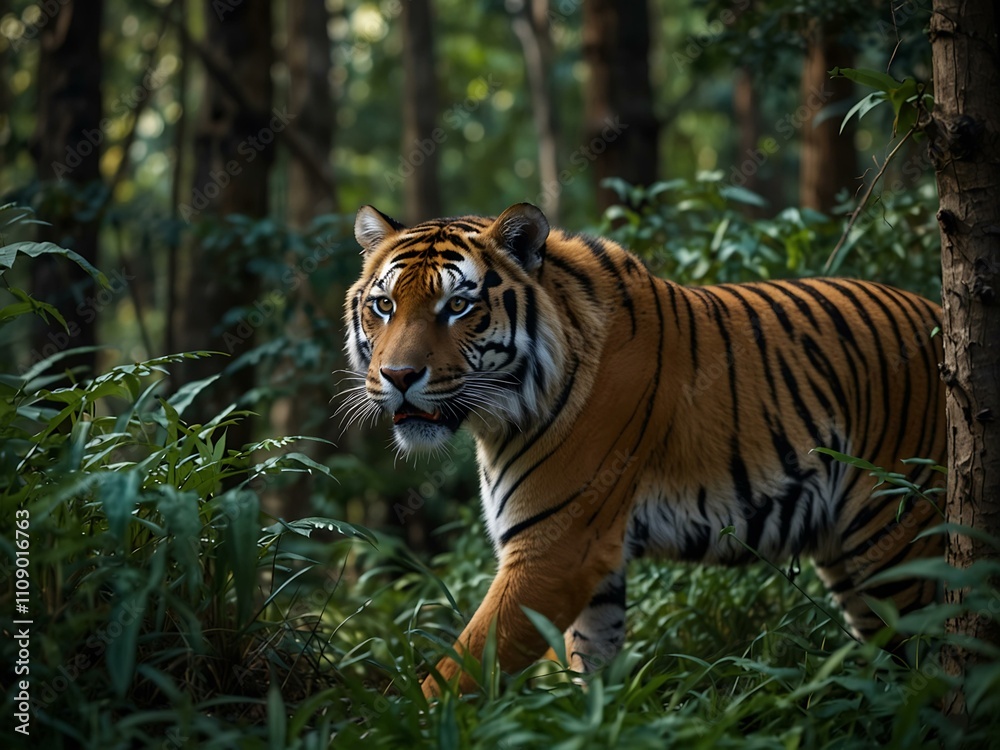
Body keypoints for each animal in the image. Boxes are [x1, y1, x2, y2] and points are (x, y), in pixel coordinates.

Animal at [343, 202, 946, 698]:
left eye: (459, 306)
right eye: (384, 304)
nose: (398, 376)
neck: (502, 414)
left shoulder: (554, 547)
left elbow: (461, 668)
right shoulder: (593, 561)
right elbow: (591, 661)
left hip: (896, 538)